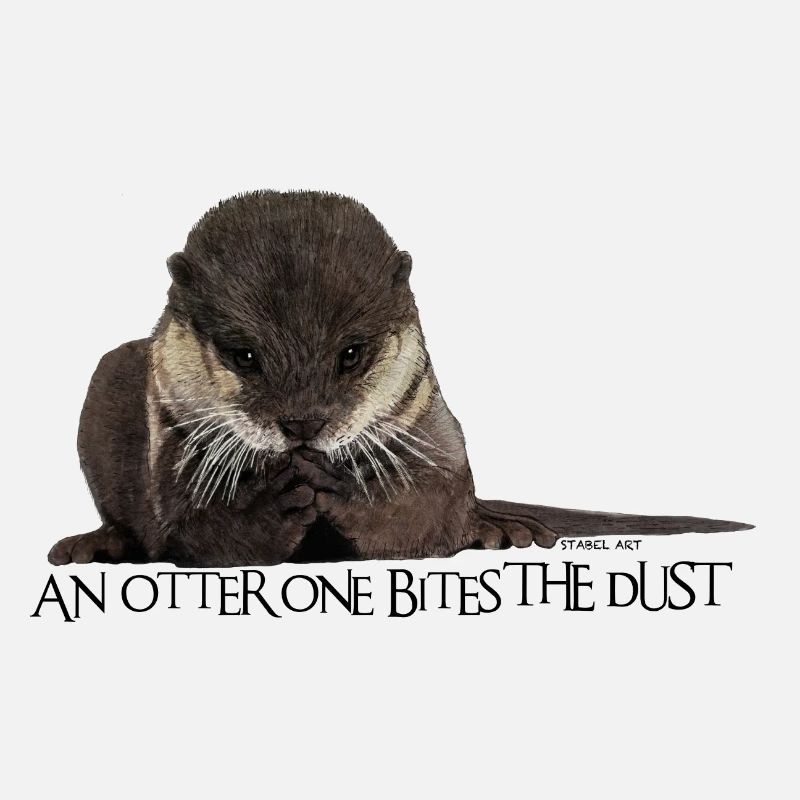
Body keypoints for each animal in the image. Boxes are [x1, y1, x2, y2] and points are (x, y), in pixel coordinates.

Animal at [48, 191, 752, 567]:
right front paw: (270, 501)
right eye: (243, 354)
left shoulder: (437, 434)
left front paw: (350, 488)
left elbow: (428, 514)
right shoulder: (169, 440)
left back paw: (501, 528)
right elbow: (192, 533)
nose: (302, 423)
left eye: (351, 353)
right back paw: (95, 543)